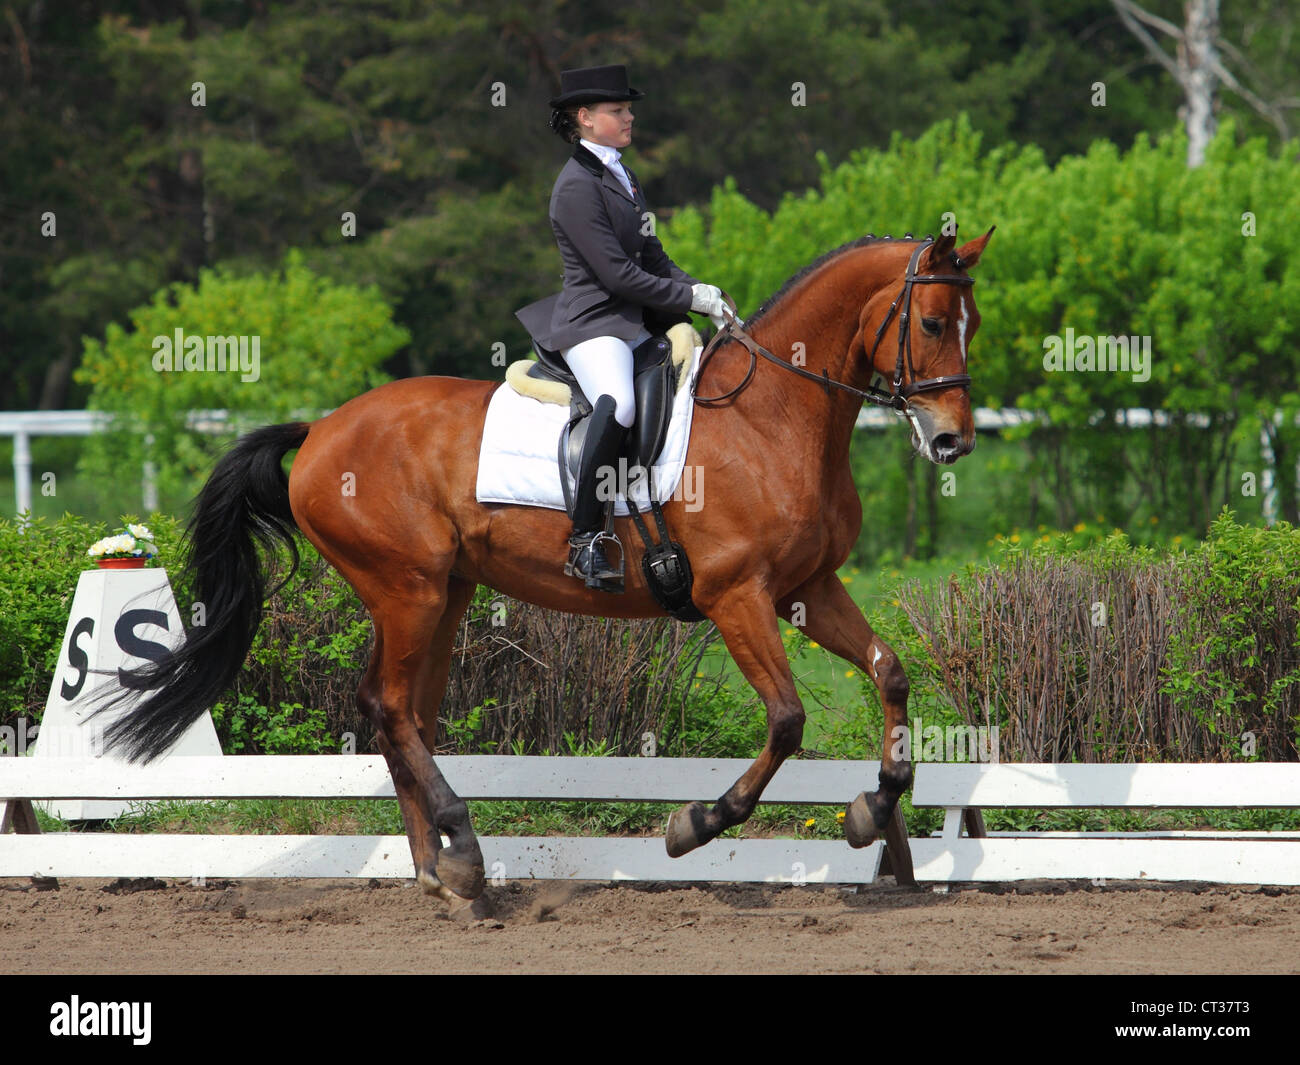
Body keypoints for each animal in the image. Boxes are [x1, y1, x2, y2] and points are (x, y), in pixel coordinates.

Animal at [101, 227, 993, 910]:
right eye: (933, 320)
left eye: (972, 323)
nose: (953, 441)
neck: (772, 416)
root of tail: (319, 429)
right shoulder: (738, 594)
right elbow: (785, 720)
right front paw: (696, 823)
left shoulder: (809, 588)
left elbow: (890, 673)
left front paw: (873, 807)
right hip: (407, 588)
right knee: (389, 708)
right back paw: (461, 852)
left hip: (444, 593)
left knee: (402, 713)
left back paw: (439, 868)